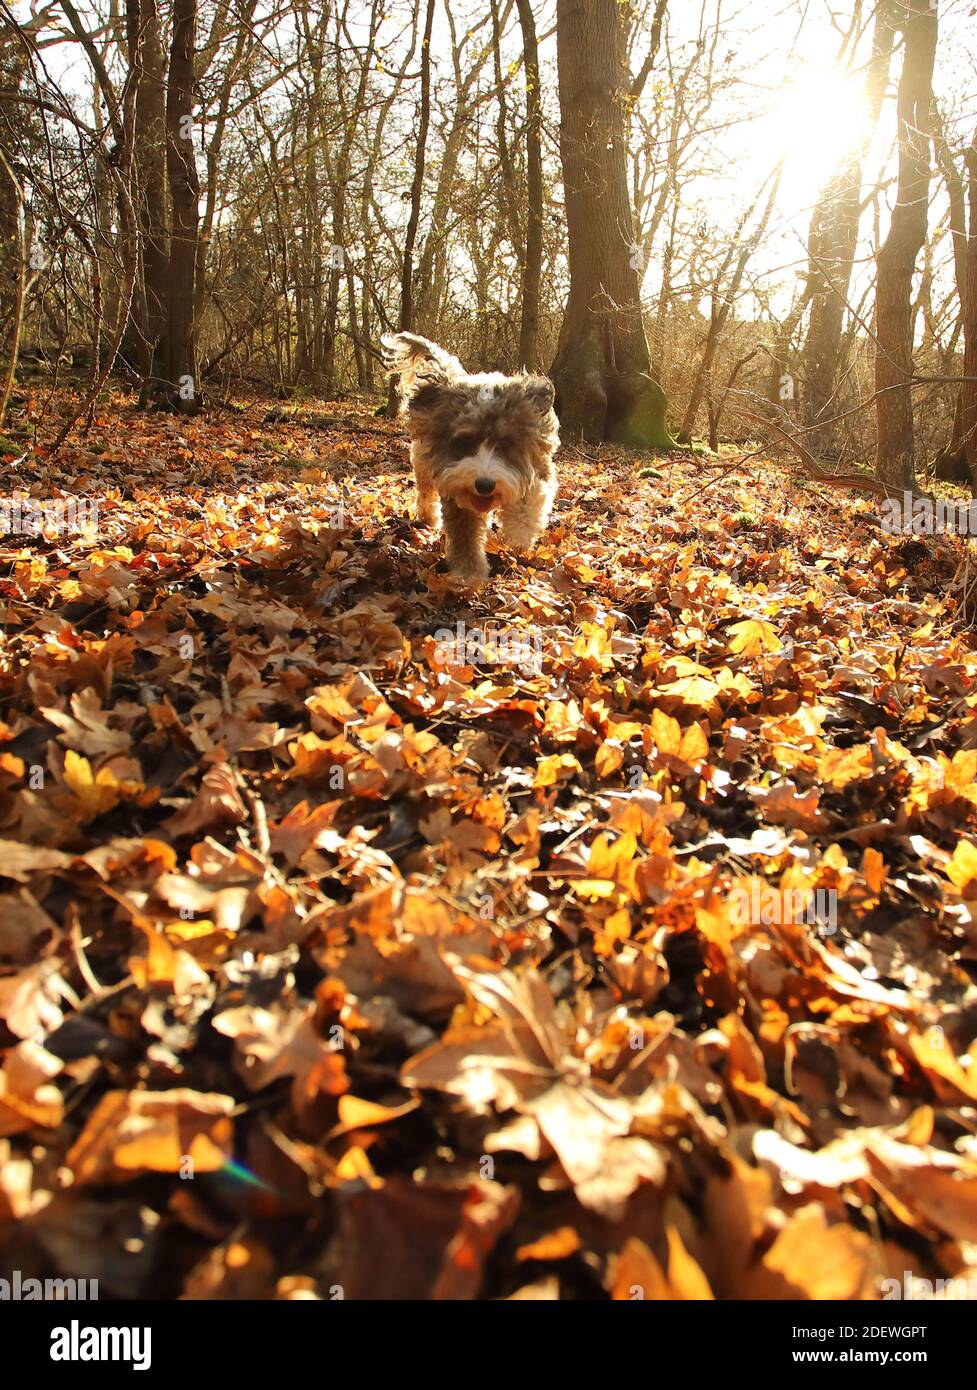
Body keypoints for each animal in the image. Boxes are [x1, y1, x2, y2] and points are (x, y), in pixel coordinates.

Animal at [386, 332, 561, 581]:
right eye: (464, 442)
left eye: (505, 443)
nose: (484, 485)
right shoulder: (456, 489)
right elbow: (465, 534)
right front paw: (471, 574)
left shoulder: (538, 463)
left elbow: (530, 499)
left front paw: (519, 535)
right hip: (423, 461)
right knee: (426, 490)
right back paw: (428, 517)